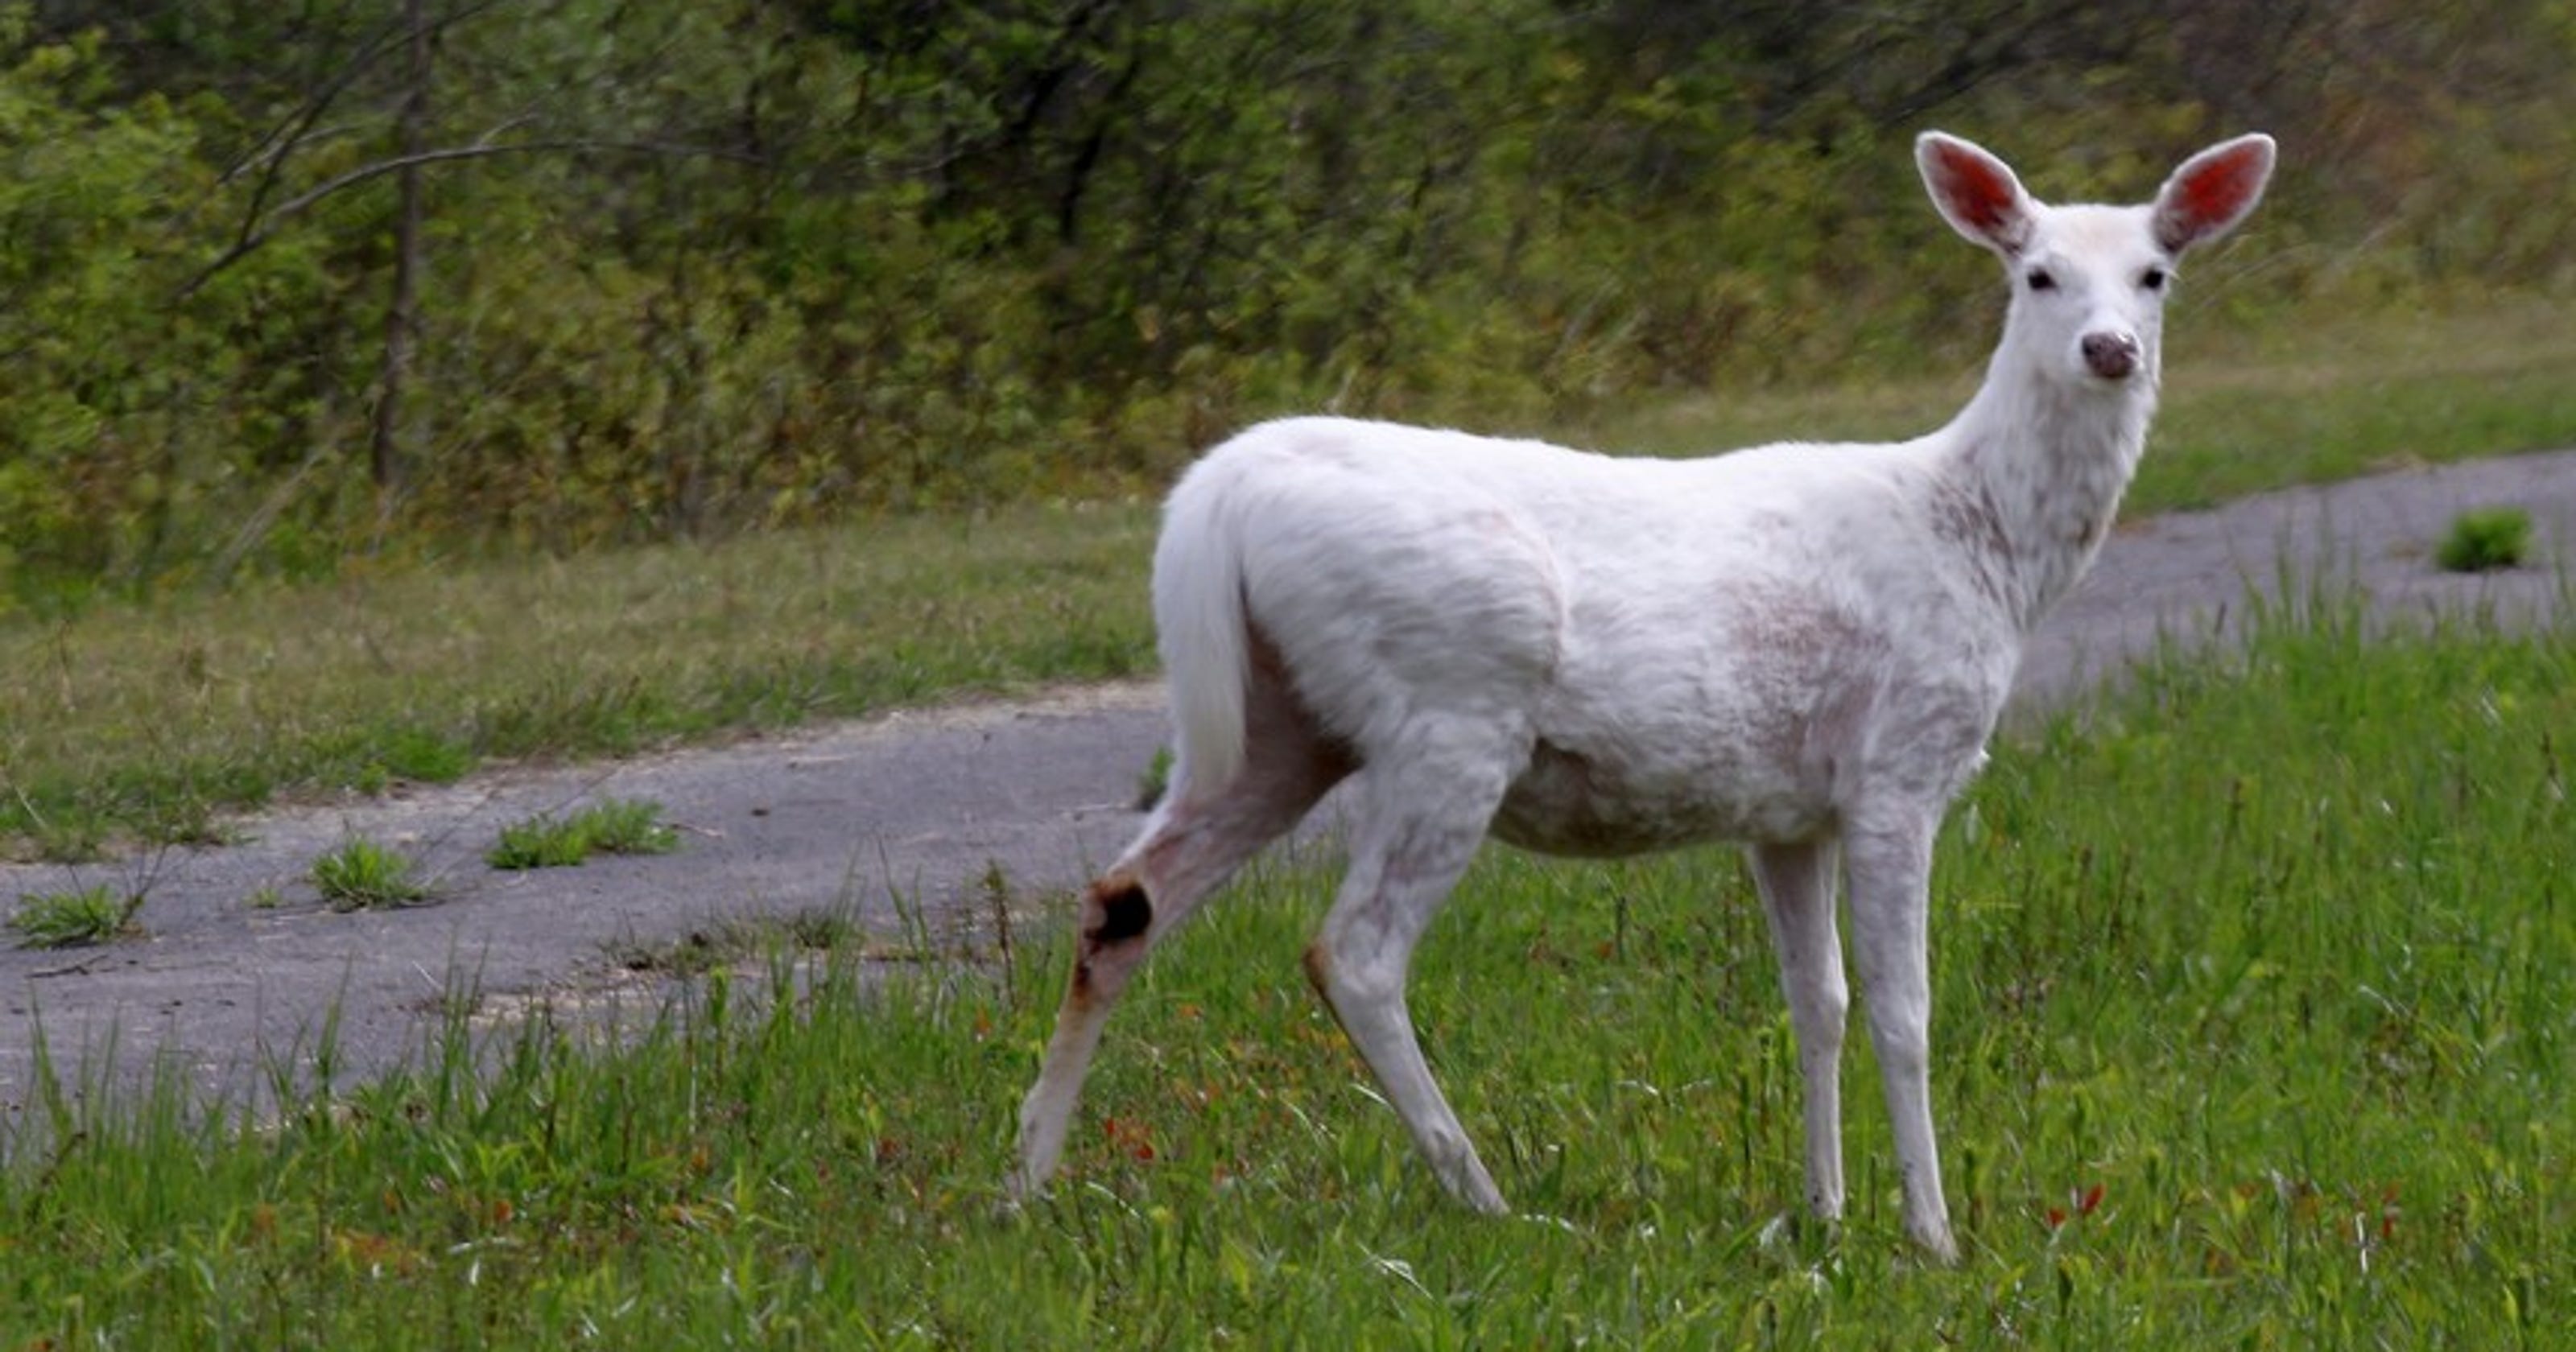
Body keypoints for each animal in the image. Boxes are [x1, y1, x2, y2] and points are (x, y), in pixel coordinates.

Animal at [1009, 131, 2275, 1262]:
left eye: (2154, 273)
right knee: (1351, 951)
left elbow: (1816, 1000)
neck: (1988, 550)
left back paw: (1023, 1186)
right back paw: (1488, 1199)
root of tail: (1219, 495)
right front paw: (1933, 1236)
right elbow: (1903, 1010)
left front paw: (1821, 1214)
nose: (2109, 348)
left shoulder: (1791, 811)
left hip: (1274, 727)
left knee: (1123, 902)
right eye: (2036, 273)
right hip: (1449, 711)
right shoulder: (1900, 767)